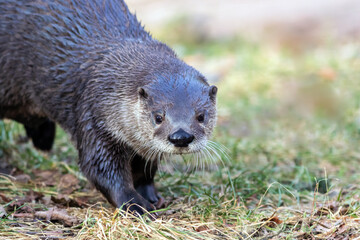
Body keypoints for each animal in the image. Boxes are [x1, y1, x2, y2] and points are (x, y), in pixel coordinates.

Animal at [0, 0, 217, 214]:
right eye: (158, 117)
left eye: (201, 116)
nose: (181, 137)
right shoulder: (94, 116)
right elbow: (100, 169)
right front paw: (134, 204)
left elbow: (144, 169)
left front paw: (150, 195)